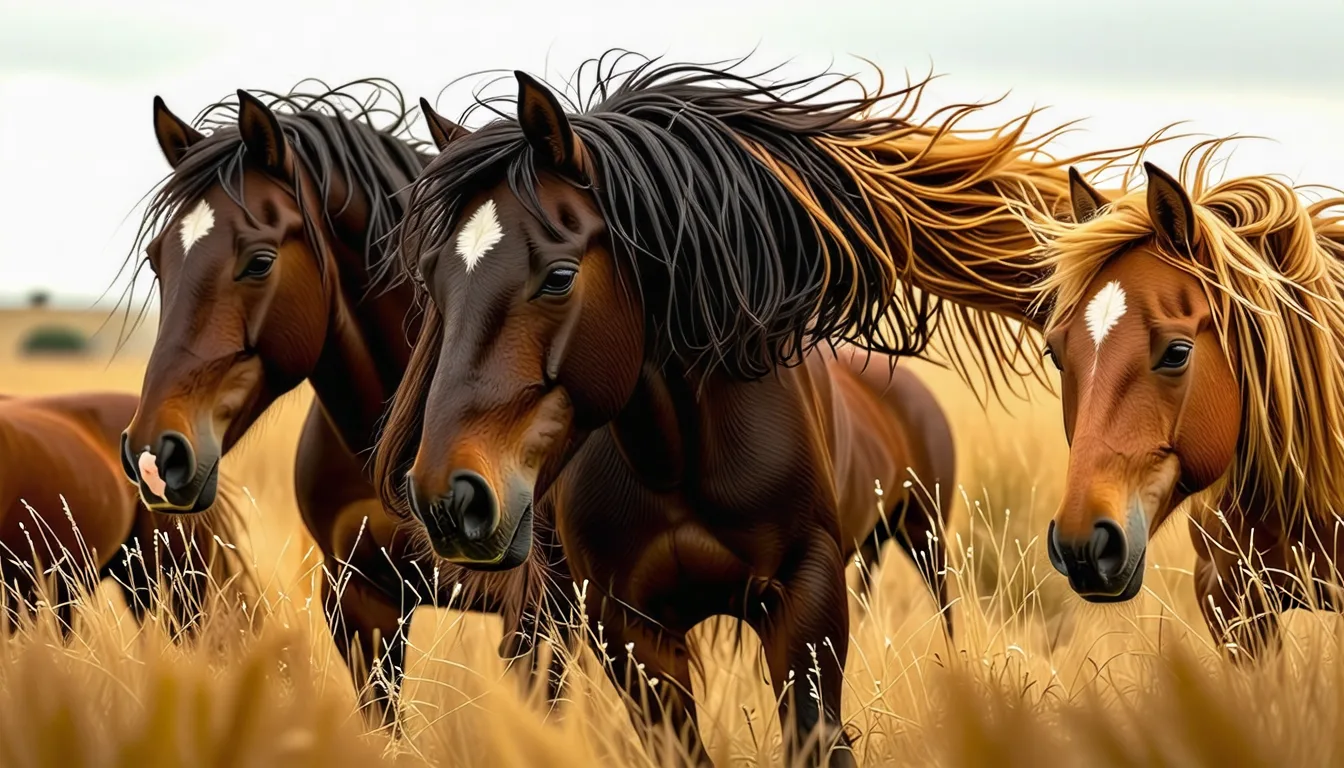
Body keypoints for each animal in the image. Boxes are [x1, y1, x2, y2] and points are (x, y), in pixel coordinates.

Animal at [373, 55, 1147, 766]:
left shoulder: (806, 597)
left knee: (946, 613)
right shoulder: (632, 630)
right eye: (432, 281)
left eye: (559, 276)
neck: (681, 458)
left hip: (923, 535)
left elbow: (816, 738)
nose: (447, 500)